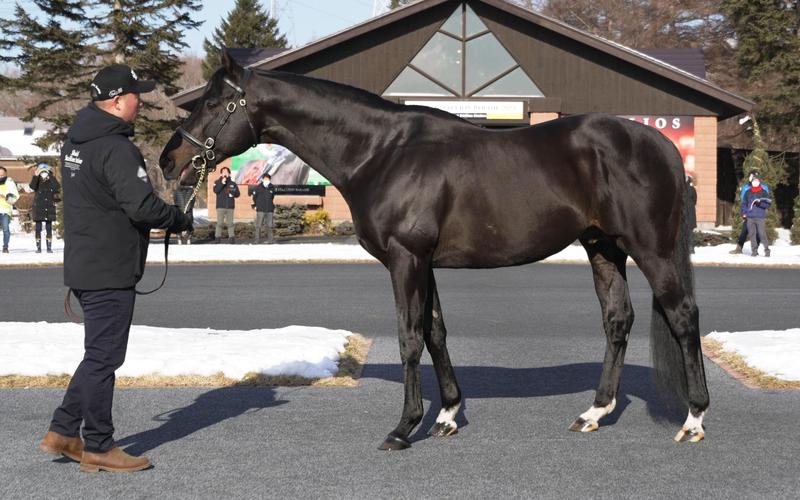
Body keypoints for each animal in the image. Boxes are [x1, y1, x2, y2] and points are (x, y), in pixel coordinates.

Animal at [160, 51, 709, 450]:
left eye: (215, 104)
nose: (168, 159)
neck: (381, 152)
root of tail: (660, 145)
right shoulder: (424, 263)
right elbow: (435, 331)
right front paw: (446, 415)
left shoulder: (406, 259)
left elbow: (409, 337)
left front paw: (404, 427)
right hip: (603, 247)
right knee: (618, 319)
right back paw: (594, 412)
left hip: (651, 249)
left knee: (682, 316)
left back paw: (694, 419)